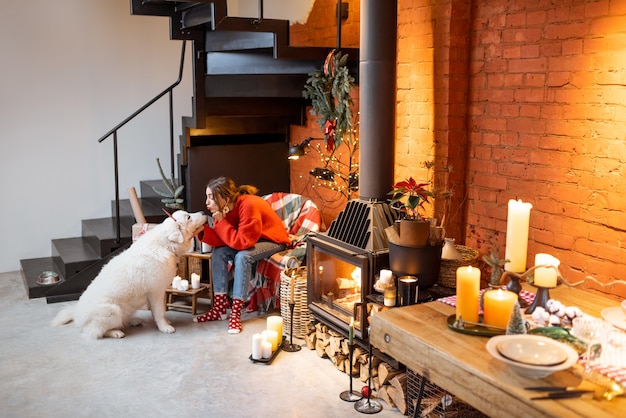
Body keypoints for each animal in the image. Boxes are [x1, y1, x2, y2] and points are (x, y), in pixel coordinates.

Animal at [51, 211, 207, 338]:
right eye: (188, 217)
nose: (203, 212)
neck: (165, 246)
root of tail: (77, 314)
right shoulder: (155, 292)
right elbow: (159, 312)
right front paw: (165, 327)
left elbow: (159, 311)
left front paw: (165, 322)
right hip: (112, 310)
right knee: (94, 331)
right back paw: (115, 332)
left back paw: (133, 321)